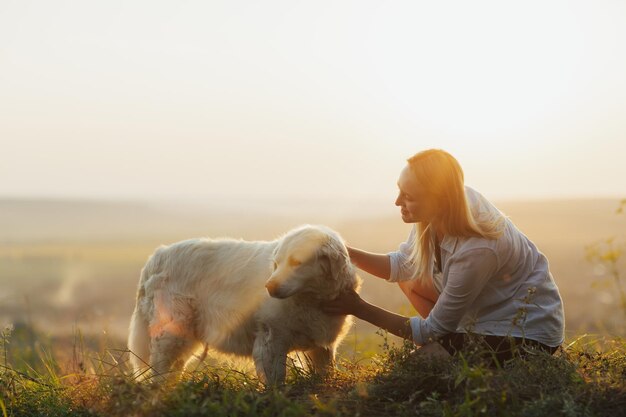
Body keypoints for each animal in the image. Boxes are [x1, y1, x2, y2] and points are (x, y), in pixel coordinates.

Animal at [128, 224, 360, 384]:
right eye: (276, 263)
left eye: (296, 262)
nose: (269, 286)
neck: (311, 298)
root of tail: (157, 255)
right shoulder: (270, 339)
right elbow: (276, 379)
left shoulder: (321, 346)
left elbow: (325, 372)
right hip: (174, 332)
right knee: (161, 371)